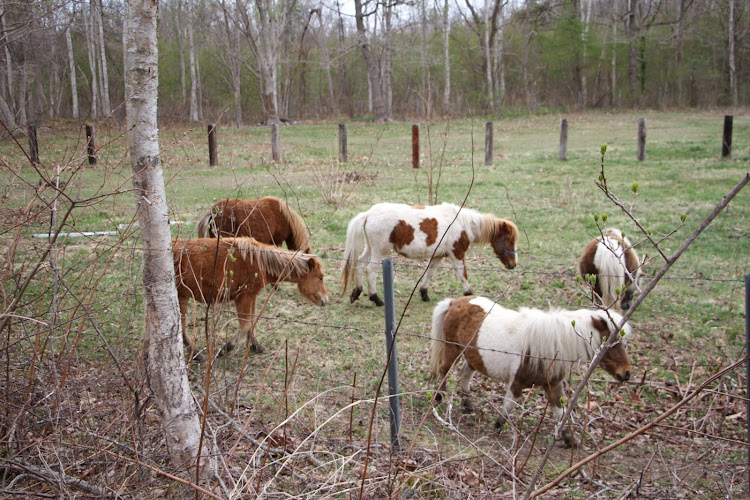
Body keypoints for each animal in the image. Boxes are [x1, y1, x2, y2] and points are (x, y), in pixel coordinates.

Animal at [178, 236, 330, 362]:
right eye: (320, 277)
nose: (325, 300)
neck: (258, 261)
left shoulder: (252, 296)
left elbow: (252, 322)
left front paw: (255, 346)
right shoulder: (243, 297)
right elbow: (246, 325)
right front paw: (226, 348)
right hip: (181, 298)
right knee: (182, 327)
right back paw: (197, 354)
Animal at [340, 202, 516, 304]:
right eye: (511, 240)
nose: (513, 265)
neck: (462, 223)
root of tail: (368, 214)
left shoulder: (438, 256)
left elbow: (430, 273)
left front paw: (424, 293)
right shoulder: (456, 254)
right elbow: (462, 274)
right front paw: (468, 294)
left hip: (370, 249)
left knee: (360, 265)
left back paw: (357, 292)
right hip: (379, 252)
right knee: (370, 271)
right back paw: (376, 298)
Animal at [428, 294, 636, 444]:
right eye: (612, 343)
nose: (626, 373)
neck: (549, 346)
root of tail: (454, 302)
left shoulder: (554, 385)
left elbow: (561, 411)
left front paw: (570, 439)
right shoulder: (517, 383)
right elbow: (509, 404)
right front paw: (499, 425)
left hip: (474, 356)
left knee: (465, 374)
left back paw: (467, 404)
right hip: (452, 349)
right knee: (444, 370)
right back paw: (439, 396)